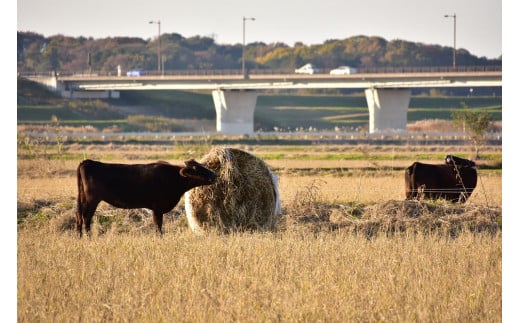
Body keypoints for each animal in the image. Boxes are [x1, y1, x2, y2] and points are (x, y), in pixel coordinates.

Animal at [75, 159, 217, 238]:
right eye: (196, 168)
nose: (215, 174)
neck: (173, 178)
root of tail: (88, 162)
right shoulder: (157, 208)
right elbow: (158, 225)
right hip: (92, 199)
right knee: (86, 217)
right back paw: (88, 237)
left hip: (84, 199)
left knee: (79, 216)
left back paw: (79, 236)